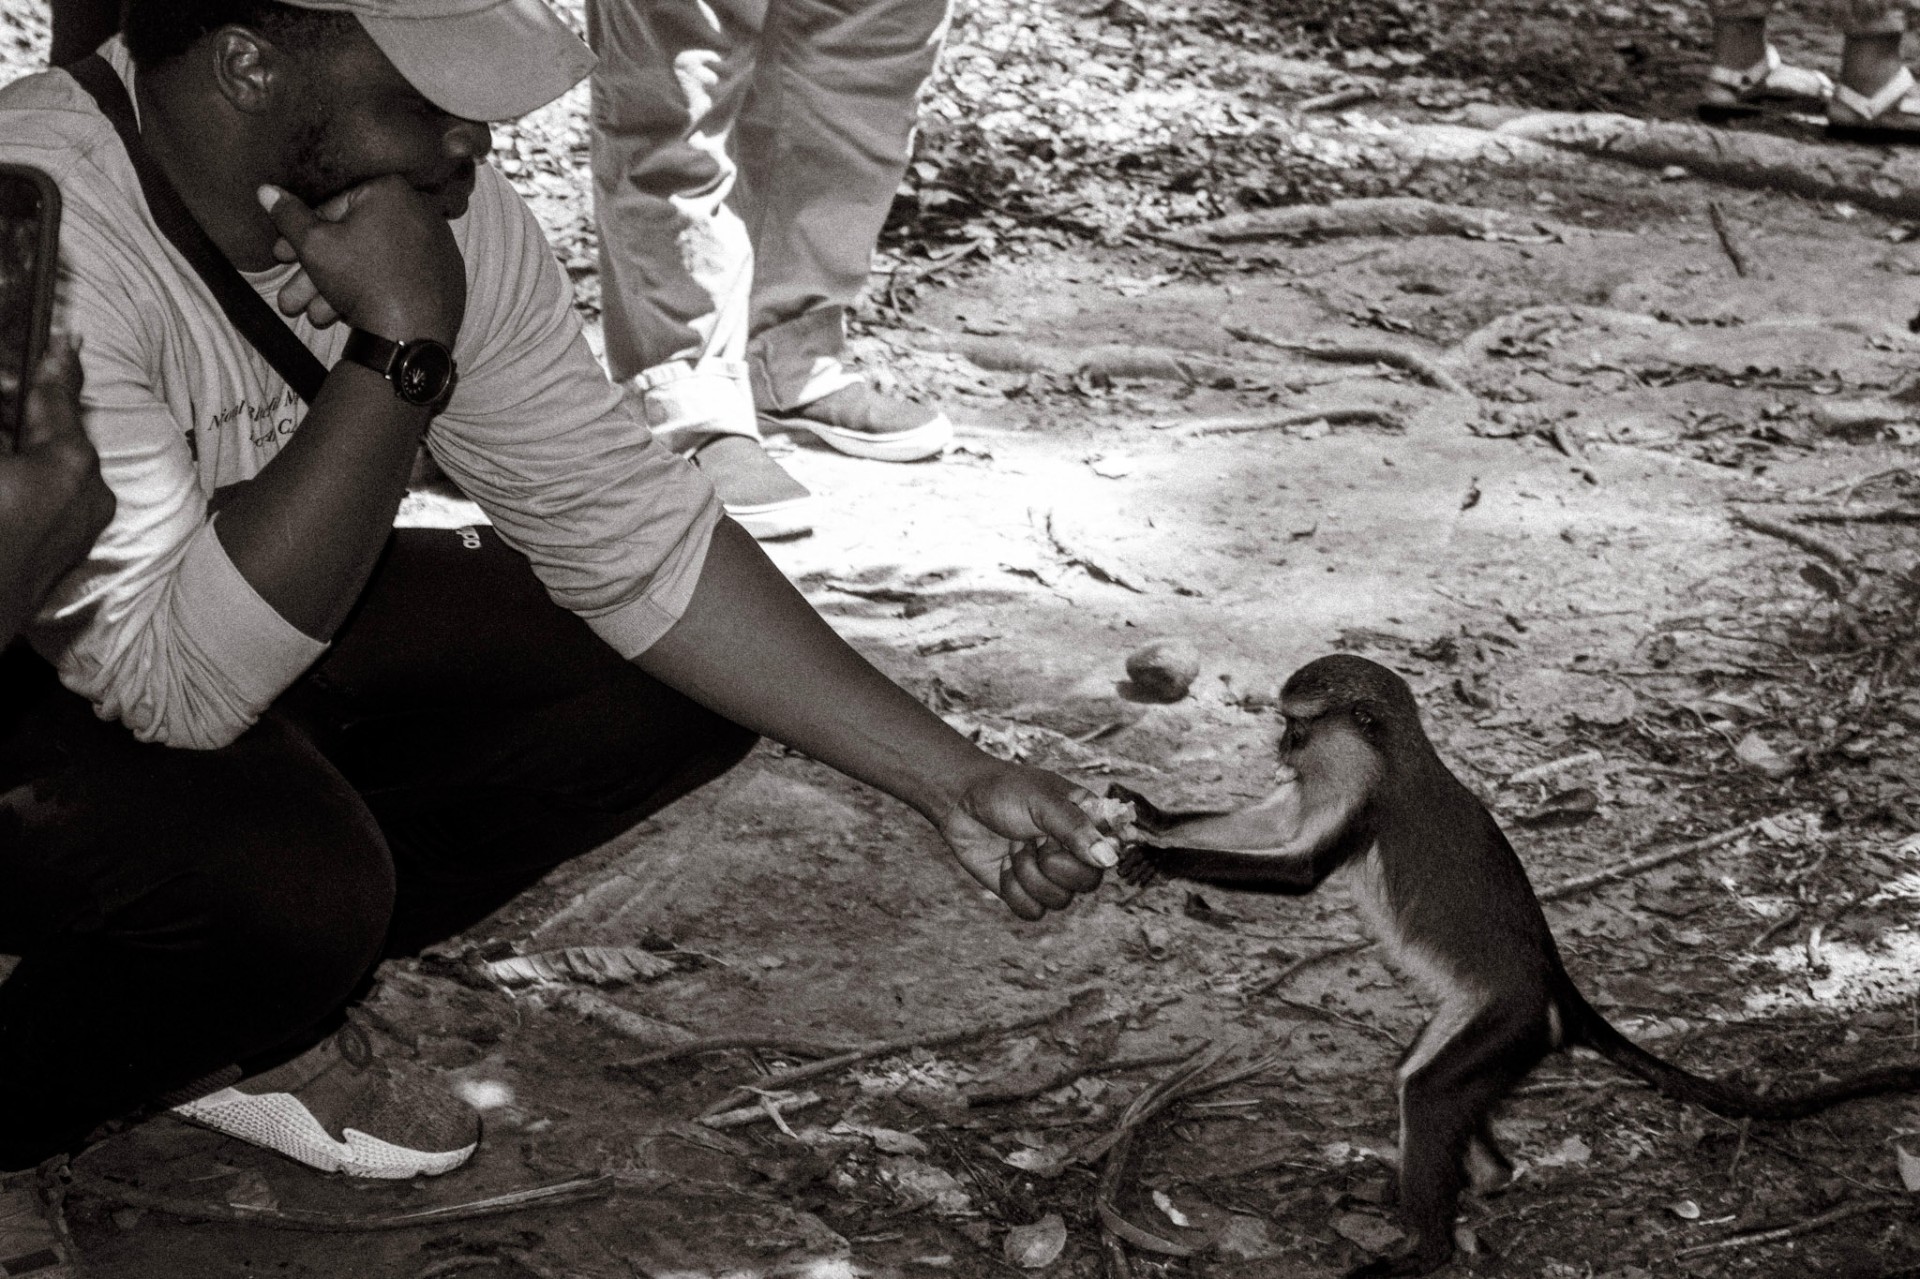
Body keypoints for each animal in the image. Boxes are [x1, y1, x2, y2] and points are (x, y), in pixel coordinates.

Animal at [1109, 654, 1920, 1279]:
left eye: (1297, 724)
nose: (1282, 748)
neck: (1394, 754)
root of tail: (1557, 985)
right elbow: (1267, 824)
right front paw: (1147, 811)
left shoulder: (1362, 799)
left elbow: (1300, 868)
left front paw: (1161, 855)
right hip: (1486, 1023)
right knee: (1422, 1082)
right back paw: (1484, 1178)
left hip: (1509, 1022)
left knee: (1429, 1093)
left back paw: (1426, 1248)